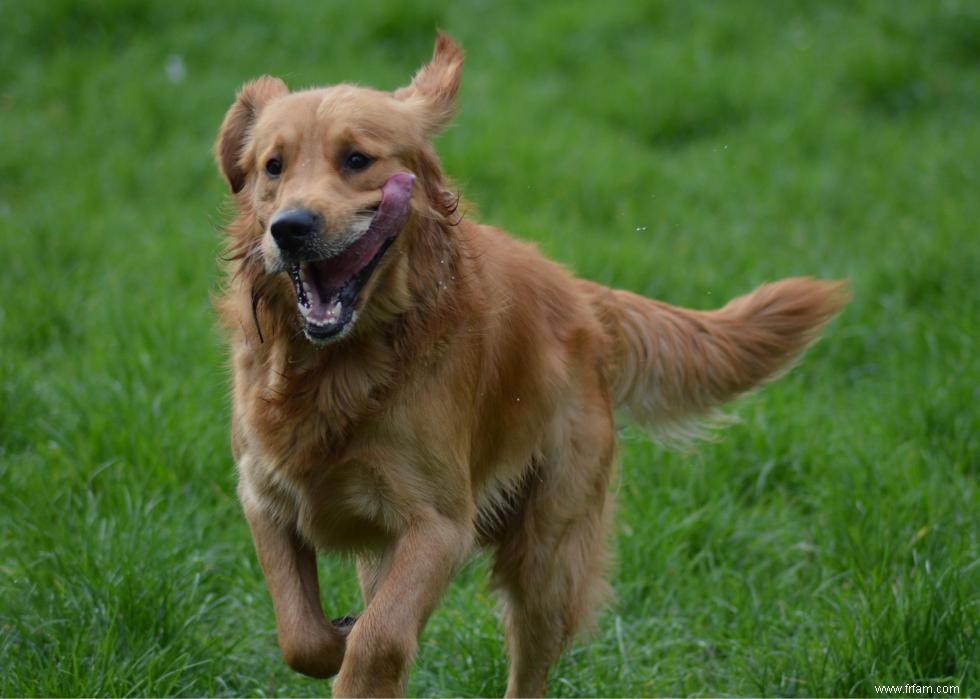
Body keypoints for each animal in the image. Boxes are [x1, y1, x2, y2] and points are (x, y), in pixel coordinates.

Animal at [214, 31, 848, 696]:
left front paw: (353, 651)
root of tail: (584, 298)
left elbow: (379, 641)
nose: (290, 228)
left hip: (548, 555)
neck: (338, 367)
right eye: (272, 166)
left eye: (356, 159)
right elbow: (300, 635)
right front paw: (333, 637)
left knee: (529, 664)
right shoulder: (264, 496)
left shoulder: (438, 523)